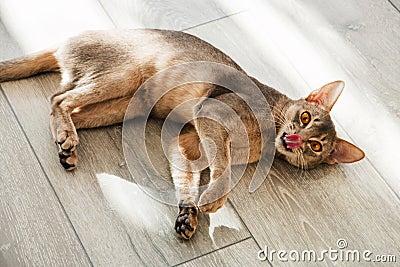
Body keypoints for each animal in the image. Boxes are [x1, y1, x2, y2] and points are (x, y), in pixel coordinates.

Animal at [0, 29, 366, 241]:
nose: (293, 140)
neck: (264, 137)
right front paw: (215, 199)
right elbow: (224, 164)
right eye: (304, 118)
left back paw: (67, 145)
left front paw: (188, 214)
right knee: (58, 98)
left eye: (315, 146)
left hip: (123, 105)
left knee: (70, 106)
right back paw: (66, 137)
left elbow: (187, 178)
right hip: (124, 75)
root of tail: (63, 42)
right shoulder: (210, 115)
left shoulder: (187, 142)